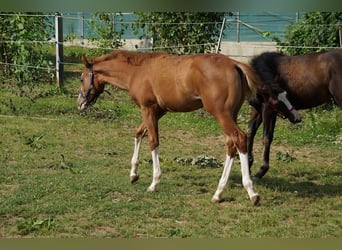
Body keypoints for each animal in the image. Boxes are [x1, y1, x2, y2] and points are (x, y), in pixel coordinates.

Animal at [77, 49, 264, 205]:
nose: (80, 103)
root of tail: (234, 64)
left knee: (239, 138)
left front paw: (154, 182)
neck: (138, 71)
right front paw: (133, 174)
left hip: (220, 113)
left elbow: (153, 141)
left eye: (81, 78)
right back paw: (218, 193)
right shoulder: (159, 111)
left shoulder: (147, 109)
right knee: (231, 144)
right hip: (231, 114)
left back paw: (251, 192)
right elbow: (139, 133)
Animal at [247, 48, 342, 179]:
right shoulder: (257, 109)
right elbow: (250, 131)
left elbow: (267, 137)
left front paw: (261, 171)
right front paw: (248, 165)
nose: (297, 118)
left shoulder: (268, 110)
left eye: (285, 96)